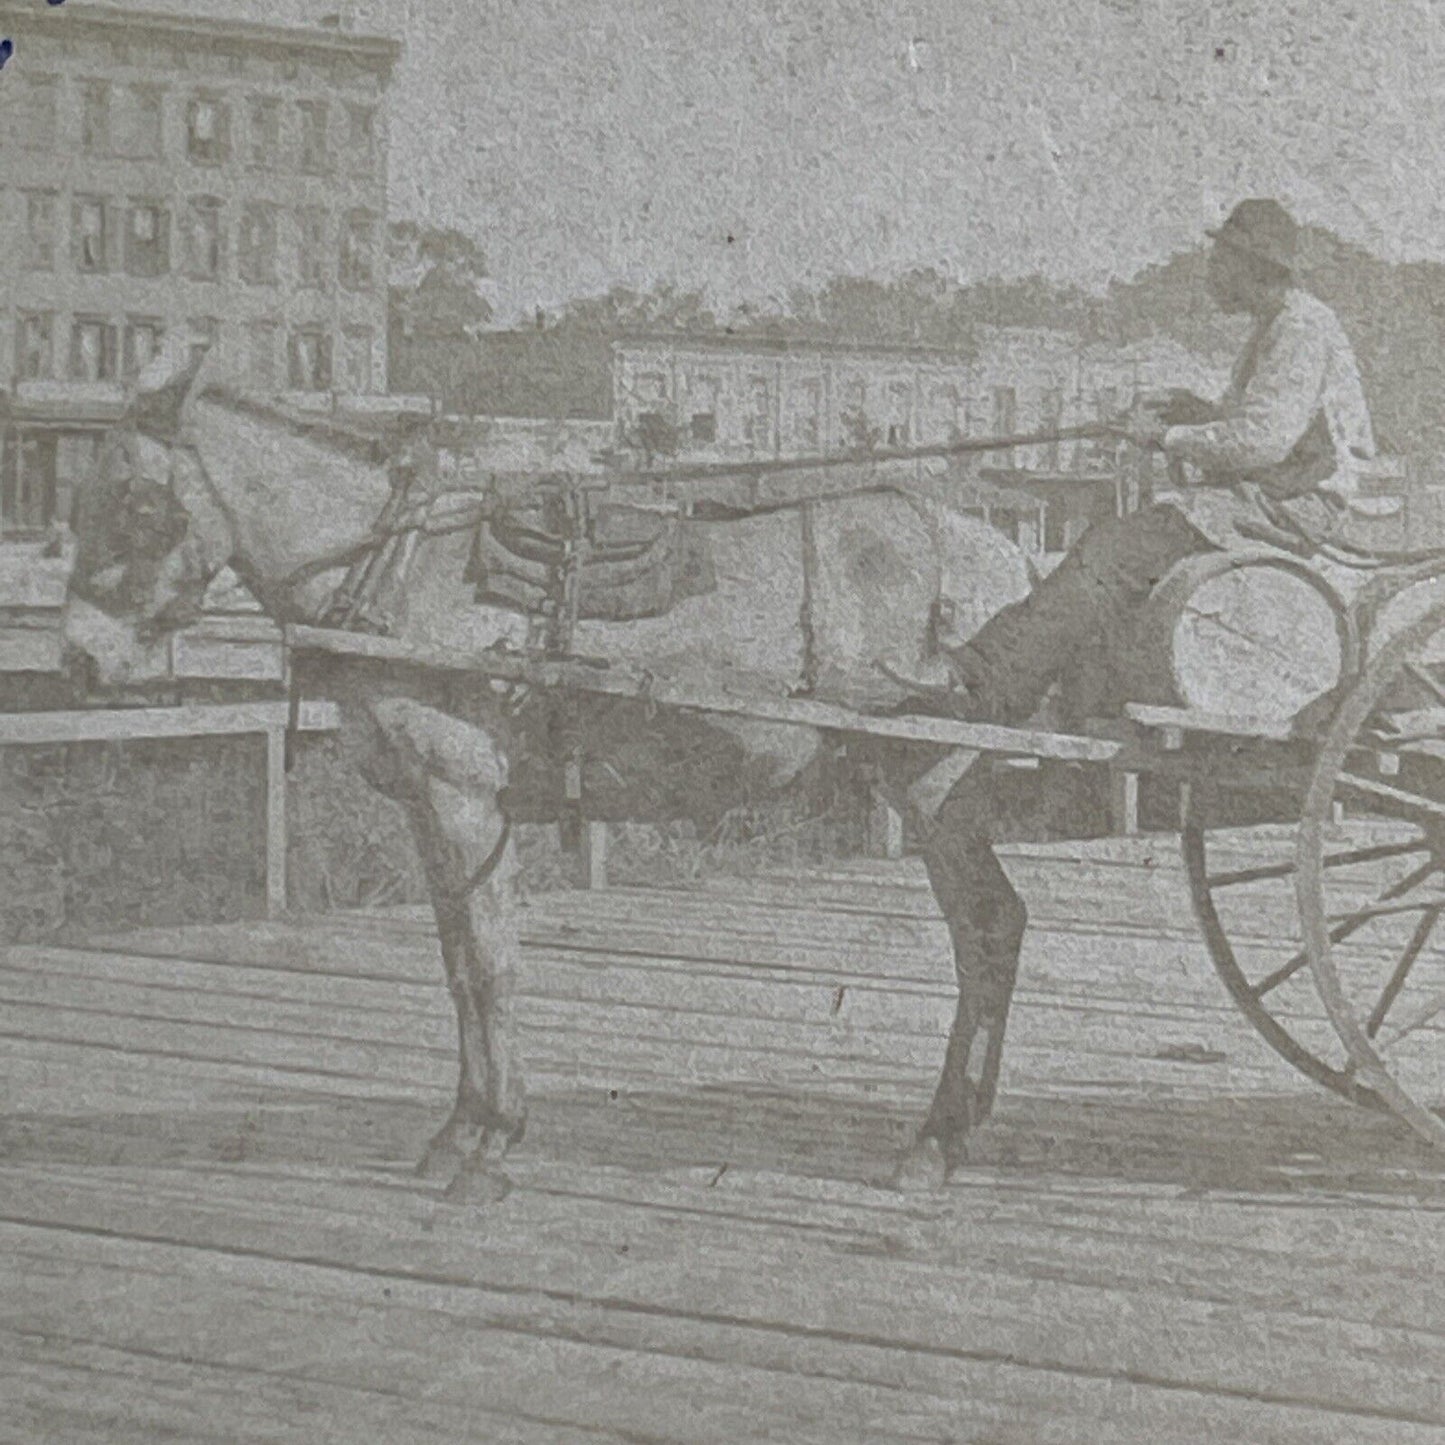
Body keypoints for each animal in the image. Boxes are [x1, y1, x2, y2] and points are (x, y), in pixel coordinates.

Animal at [62, 355, 1046, 1202]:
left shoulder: (462, 795)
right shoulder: (430, 808)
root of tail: (1002, 551)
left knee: (987, 926)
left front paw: (492, 1140)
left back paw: (937, 1137)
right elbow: (458, 966)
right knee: (991, 928)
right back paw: (952, 1130)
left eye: (139, 504)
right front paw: (461, 1128)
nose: (80, 657)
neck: (400, 569)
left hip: (934, 779)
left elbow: (491, 964)